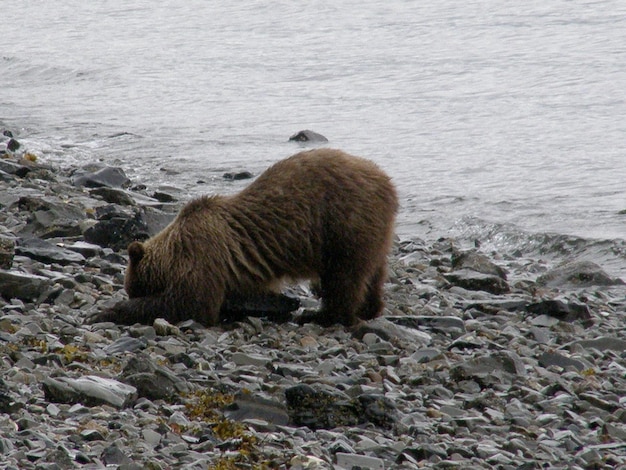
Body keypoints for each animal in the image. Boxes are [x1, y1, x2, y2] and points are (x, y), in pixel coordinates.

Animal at [90, 150, 398, 326]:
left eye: (134, 287)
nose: (129, 292)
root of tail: (386, 181)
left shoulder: (202, 253)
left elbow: (192, 302)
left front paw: (108, 312)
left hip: (342, 220)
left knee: (344, 275)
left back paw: (324, 315)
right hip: (371, 229)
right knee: (373, 270)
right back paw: (369, 308)